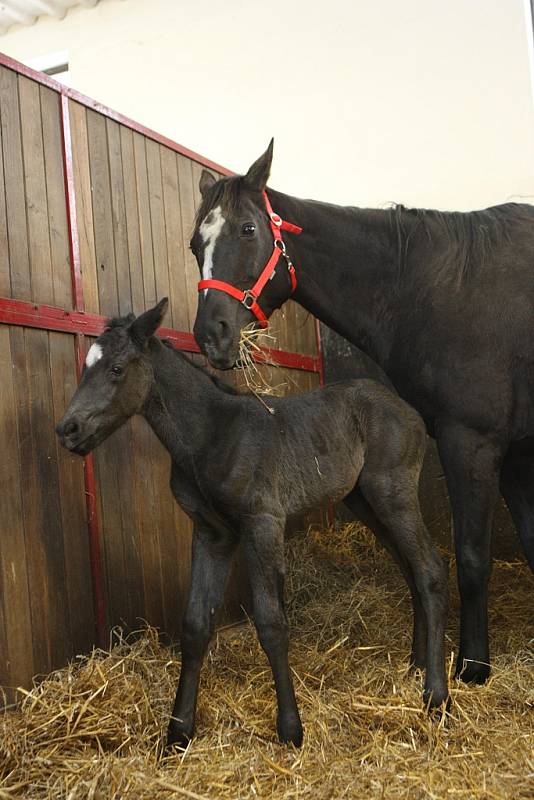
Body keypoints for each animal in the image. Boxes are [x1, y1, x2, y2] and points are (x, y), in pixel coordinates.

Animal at [193, 141, 534, 684]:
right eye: (193, 245)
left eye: (247, 229)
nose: (212, 335)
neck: (437, 286)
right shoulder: (517, 454)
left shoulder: (473, 442)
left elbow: (473, 557)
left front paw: (473, 666)